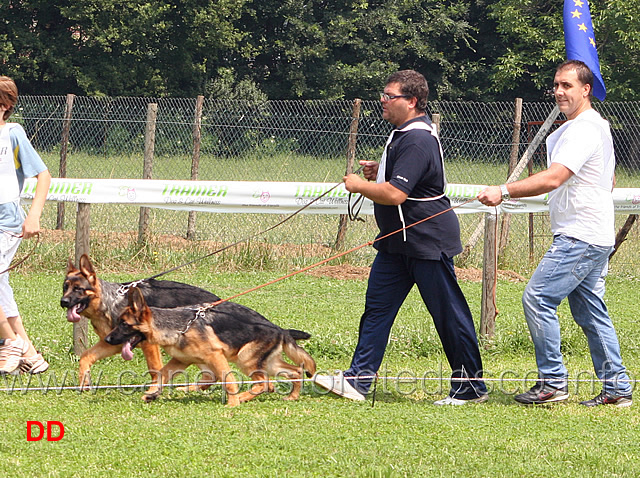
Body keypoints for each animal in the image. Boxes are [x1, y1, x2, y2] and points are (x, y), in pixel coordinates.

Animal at [60, 254, 220, 388]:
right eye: (65, 287)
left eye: (78, 289)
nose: (63, 302)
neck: (110, 301)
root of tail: (216, 300)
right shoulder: (114, 343)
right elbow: (86, 356)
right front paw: (84, 381)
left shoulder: (149, 344)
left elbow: (155, 369)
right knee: (210, 375)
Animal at [105, 288, 318, 408]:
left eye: (124, 324)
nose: (107, 339)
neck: (179, 327)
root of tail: (279, 329)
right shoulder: (180, 360)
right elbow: (160, 375)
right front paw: (152, 393)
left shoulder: (216, 356)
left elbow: (229, 381)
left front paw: (232, 404)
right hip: (266, 363)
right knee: (295, 371)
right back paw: (292, 397)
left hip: (245, 359)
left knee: (266, 383)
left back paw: (241, 399)